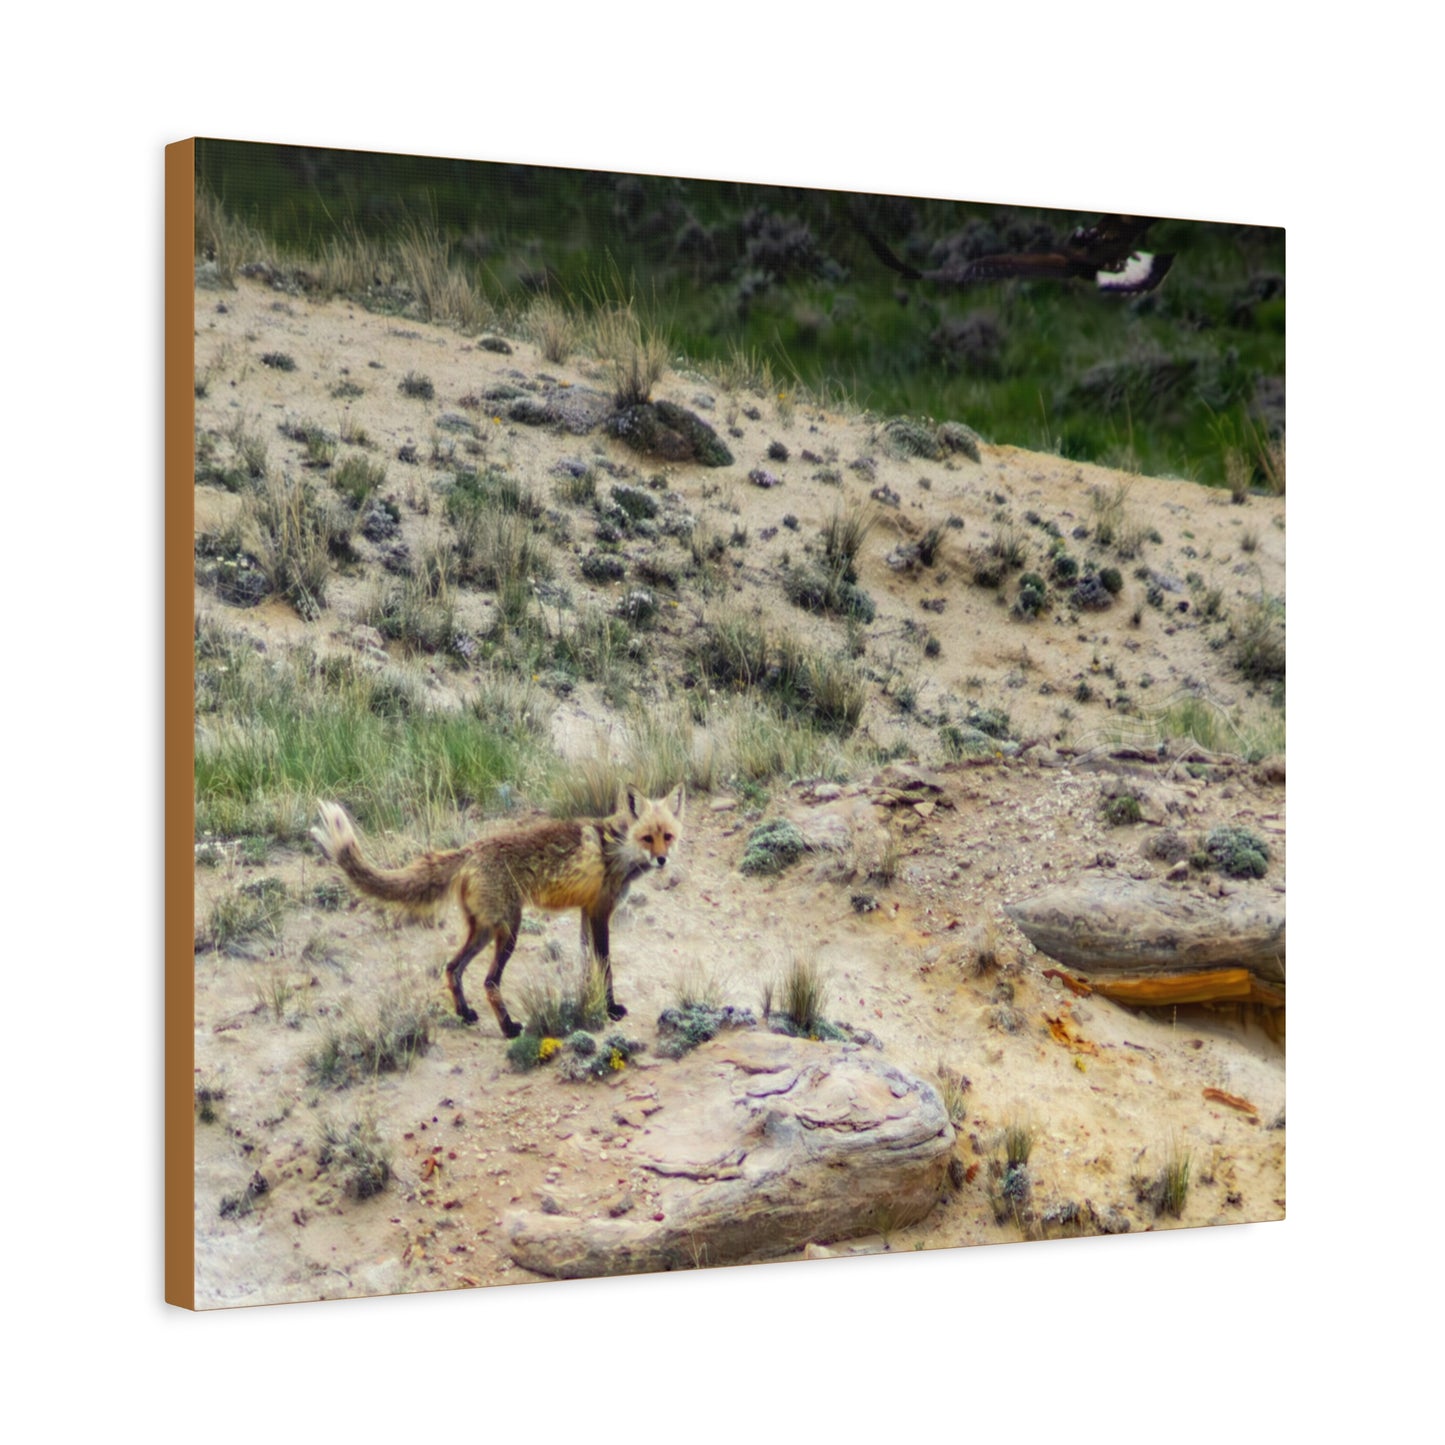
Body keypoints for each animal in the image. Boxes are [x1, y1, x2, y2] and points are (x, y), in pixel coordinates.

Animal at [310, 784, 685, 1038]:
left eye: (667, 836)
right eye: (648, 838)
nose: (662, 860)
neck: (617, 849)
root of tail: (470, 849)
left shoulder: (585, 911)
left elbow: (586, 964)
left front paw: (586, 1002)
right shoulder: (599, 912)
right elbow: (604, 965)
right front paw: (610, 1009)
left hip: (485, 930)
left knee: (452, 968)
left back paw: (465, 1015)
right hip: (509, 930)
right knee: (489, 981)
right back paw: (508, 1028)